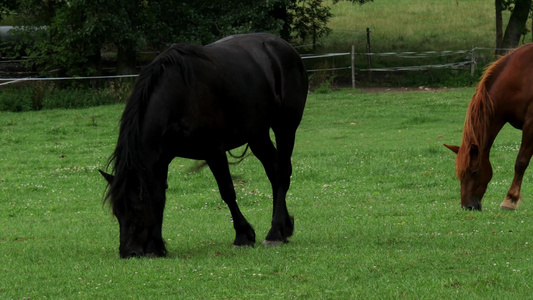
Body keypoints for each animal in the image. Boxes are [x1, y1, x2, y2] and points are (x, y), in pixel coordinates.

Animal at [100, 32, 308, 258]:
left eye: (136, 210)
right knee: (274, 170)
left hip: (285, 127)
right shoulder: (160, 158)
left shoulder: (214, 151)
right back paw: (284, 228)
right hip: (257, 134)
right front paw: (156, 246)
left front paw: (243, 235)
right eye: (117, 212)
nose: (128, 252)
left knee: (282, 173)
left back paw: (275, 233)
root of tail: (285, 47)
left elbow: (227, 191)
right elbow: (158, 196)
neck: (177, 97)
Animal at [442, 42, 532, 211]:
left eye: (474, 172)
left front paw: (510, 199)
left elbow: (521, 162)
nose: (468, 206)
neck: (521, 78)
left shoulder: (531, 125)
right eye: (460, 174)